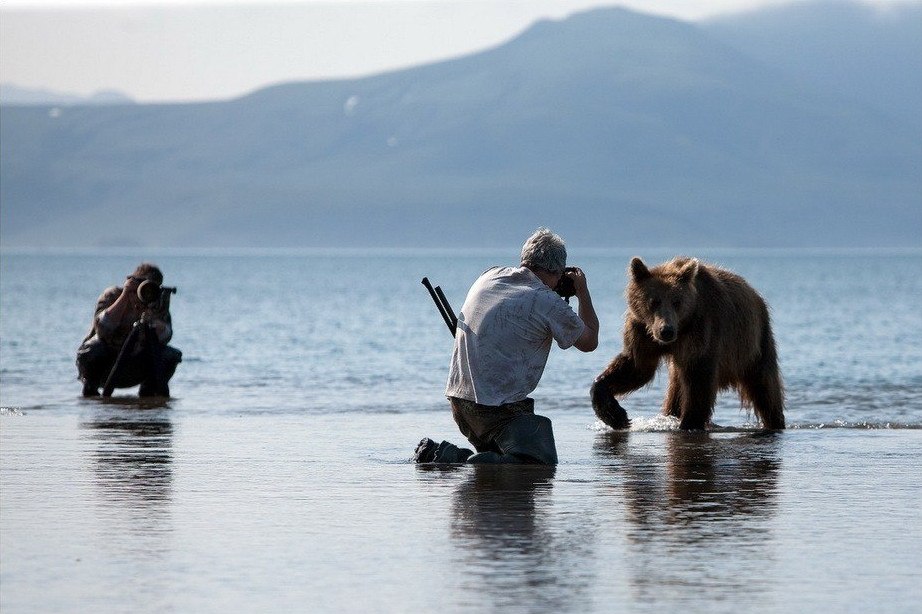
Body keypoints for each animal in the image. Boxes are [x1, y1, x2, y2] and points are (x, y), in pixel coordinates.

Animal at [588, 258, 784, 430]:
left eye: (677, 302)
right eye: (654, 301)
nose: (666, 330)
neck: (680, 329)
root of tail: (756, 295)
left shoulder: (701, 330)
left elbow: (698, 379)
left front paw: (689, 423)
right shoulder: (642, 331)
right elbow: (636, 366)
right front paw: (615, 415)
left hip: (755, 342)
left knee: (765, 387)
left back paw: (775, 420)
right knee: (675, 391)